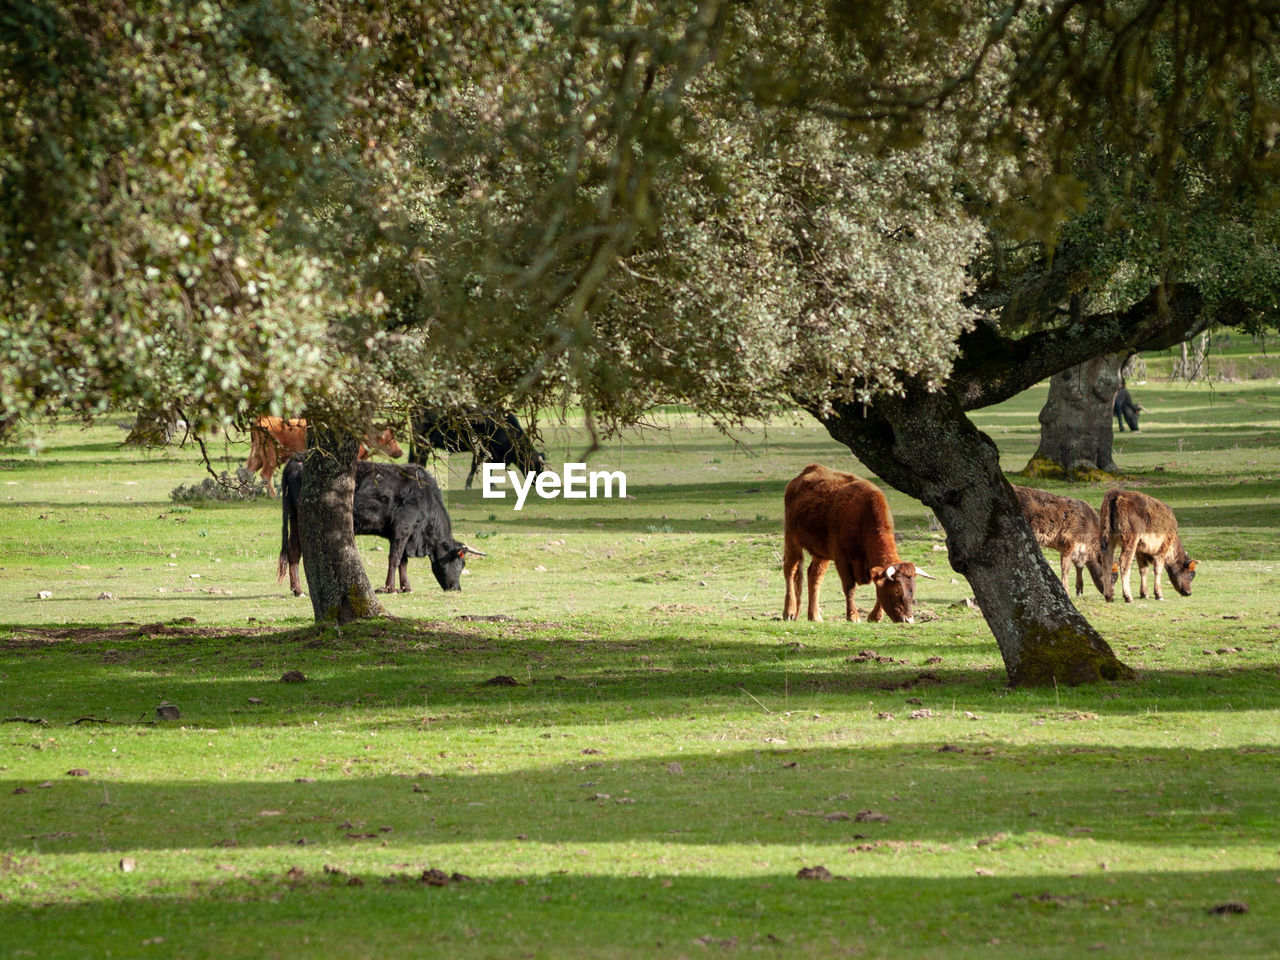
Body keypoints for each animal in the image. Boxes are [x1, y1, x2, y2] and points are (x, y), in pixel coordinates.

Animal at [240, 414, 399, 496]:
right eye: (389, 438)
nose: (400, 451)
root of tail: (261, 419)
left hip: (259, 456)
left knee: (247, 471)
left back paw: (244, 492)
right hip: (270, 456)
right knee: (265, 474)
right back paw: (273, 495)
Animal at [277, 455, 481, 599]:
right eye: (461, 563)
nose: (456, 588)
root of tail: (296, 458)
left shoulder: (404, 534)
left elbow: (403, 561)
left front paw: (406, 587)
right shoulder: (402, 529)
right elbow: (395, 558)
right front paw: (391, 588)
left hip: (296, 518)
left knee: (293, 550)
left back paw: (298, 590)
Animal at [409, 407, 545, 491]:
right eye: (536, 466)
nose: (537, 484)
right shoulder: (483, 449)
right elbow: (476, 466)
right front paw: (471, 485)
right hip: (422, 443)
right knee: (419, 462)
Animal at [778, 463, 931, 624]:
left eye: (912, 590)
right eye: (896, 590)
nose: (908, 619)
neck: (863, 516)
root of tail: (805, 473)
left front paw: (875, 616)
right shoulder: (842, 560)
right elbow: (849, 588)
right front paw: (853, 616)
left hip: (821, 552)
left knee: (814, 577)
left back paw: (814, 615)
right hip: (792, 539)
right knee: (790, 570)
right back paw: (789, 611)